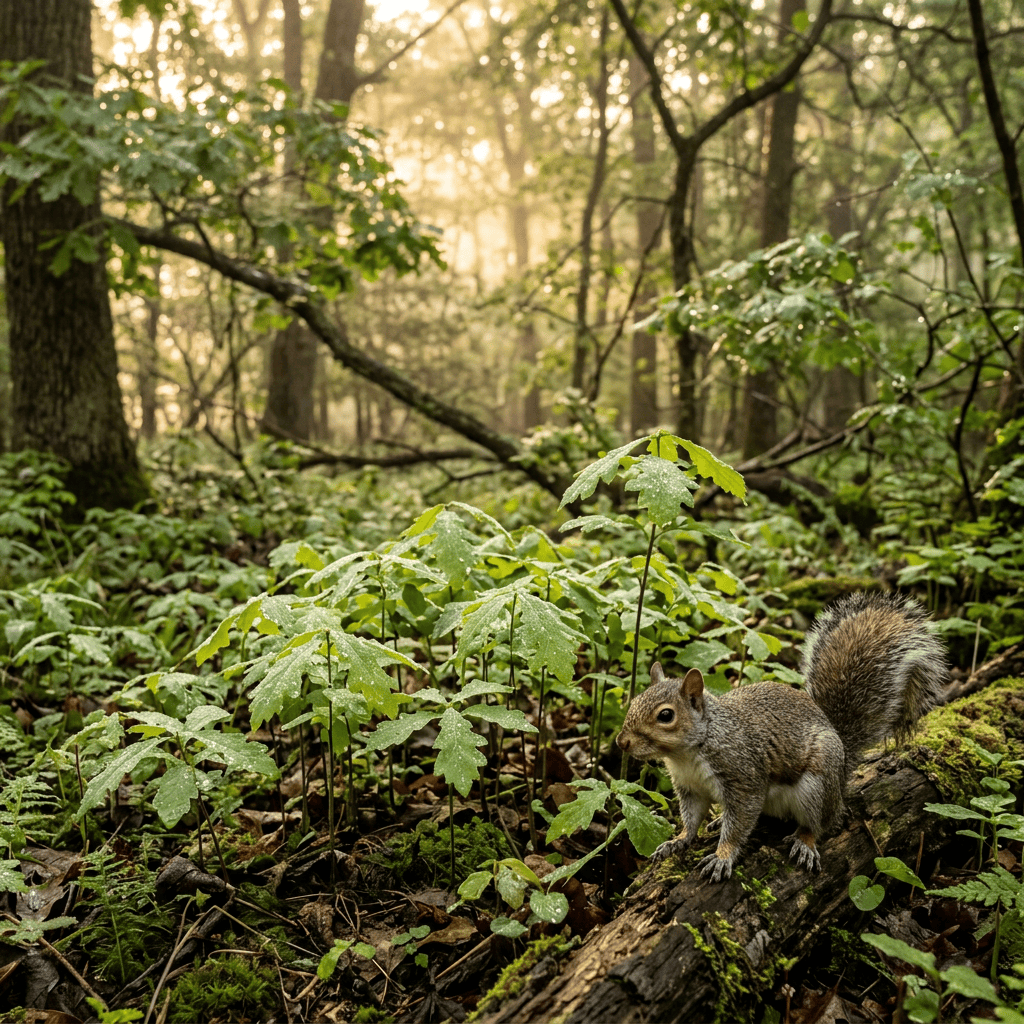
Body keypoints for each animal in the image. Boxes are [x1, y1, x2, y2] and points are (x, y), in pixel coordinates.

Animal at [616, 592, 949, 882]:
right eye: (635, 701)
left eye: (666, 716)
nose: (622, 742)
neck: (688, 752)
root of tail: (842, 767)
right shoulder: (690, 788)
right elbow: (690, 819)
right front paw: (679, 840)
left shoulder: (744, 778)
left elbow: (740, 823)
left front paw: (722, 856)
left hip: (817, 786)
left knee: (821, 822)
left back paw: (805, 841)